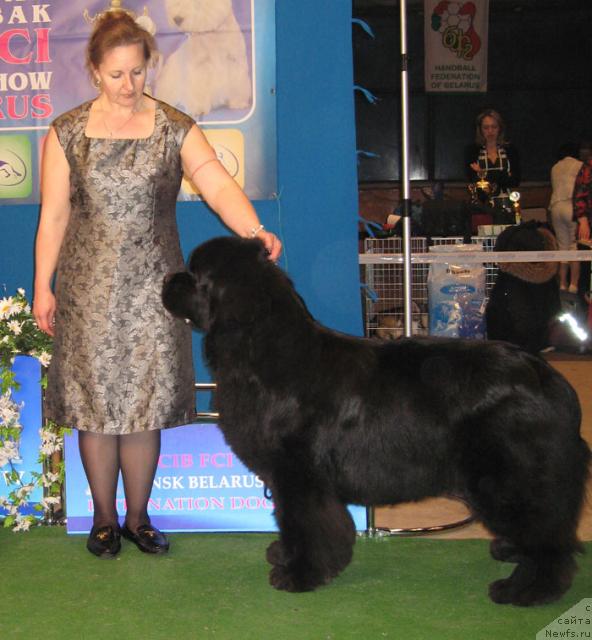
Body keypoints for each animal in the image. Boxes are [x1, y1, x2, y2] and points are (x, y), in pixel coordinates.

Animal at [161, 238, 588, 608]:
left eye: (194, 273)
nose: (167, 279)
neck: (260, 351)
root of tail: (551, 379)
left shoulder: (299, 473)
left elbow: (304, 522)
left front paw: (299, 574)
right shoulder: (289, 478)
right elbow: (292, 521)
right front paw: (283, 554)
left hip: (509, 477)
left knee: (548, 537)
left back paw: (527, 590)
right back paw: (512, 553)